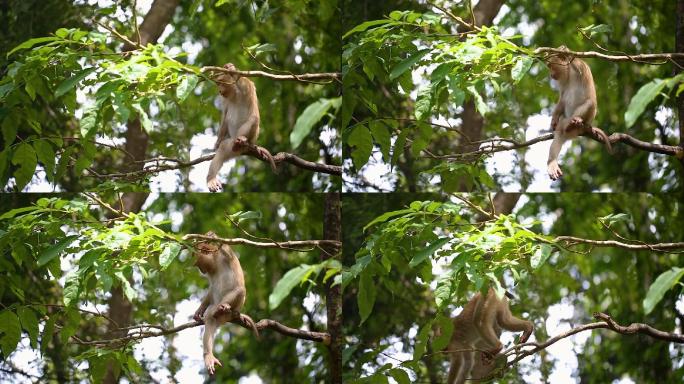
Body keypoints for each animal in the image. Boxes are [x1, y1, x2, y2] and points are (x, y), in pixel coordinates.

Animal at [192, 231, 260, 376]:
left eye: (199, 263)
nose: (200, 270)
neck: (215, 262)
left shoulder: (226, 256)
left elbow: (227, 250)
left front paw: (212, 236)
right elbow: (211, 290)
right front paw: (200, 310)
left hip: (234, 308)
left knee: (240, 290)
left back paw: (223, 307)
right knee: (210, 319)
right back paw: (208, 355)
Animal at [544, 46, 616, 182]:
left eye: (550, 66)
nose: (550, 74)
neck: (569, 72)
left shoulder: (579, 66)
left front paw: (563, 50)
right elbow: (562, 99)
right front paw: (554, 119)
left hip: (588, 119)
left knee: (590, 102)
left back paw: (574, 121)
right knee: (560, 133)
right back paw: (552, 161)